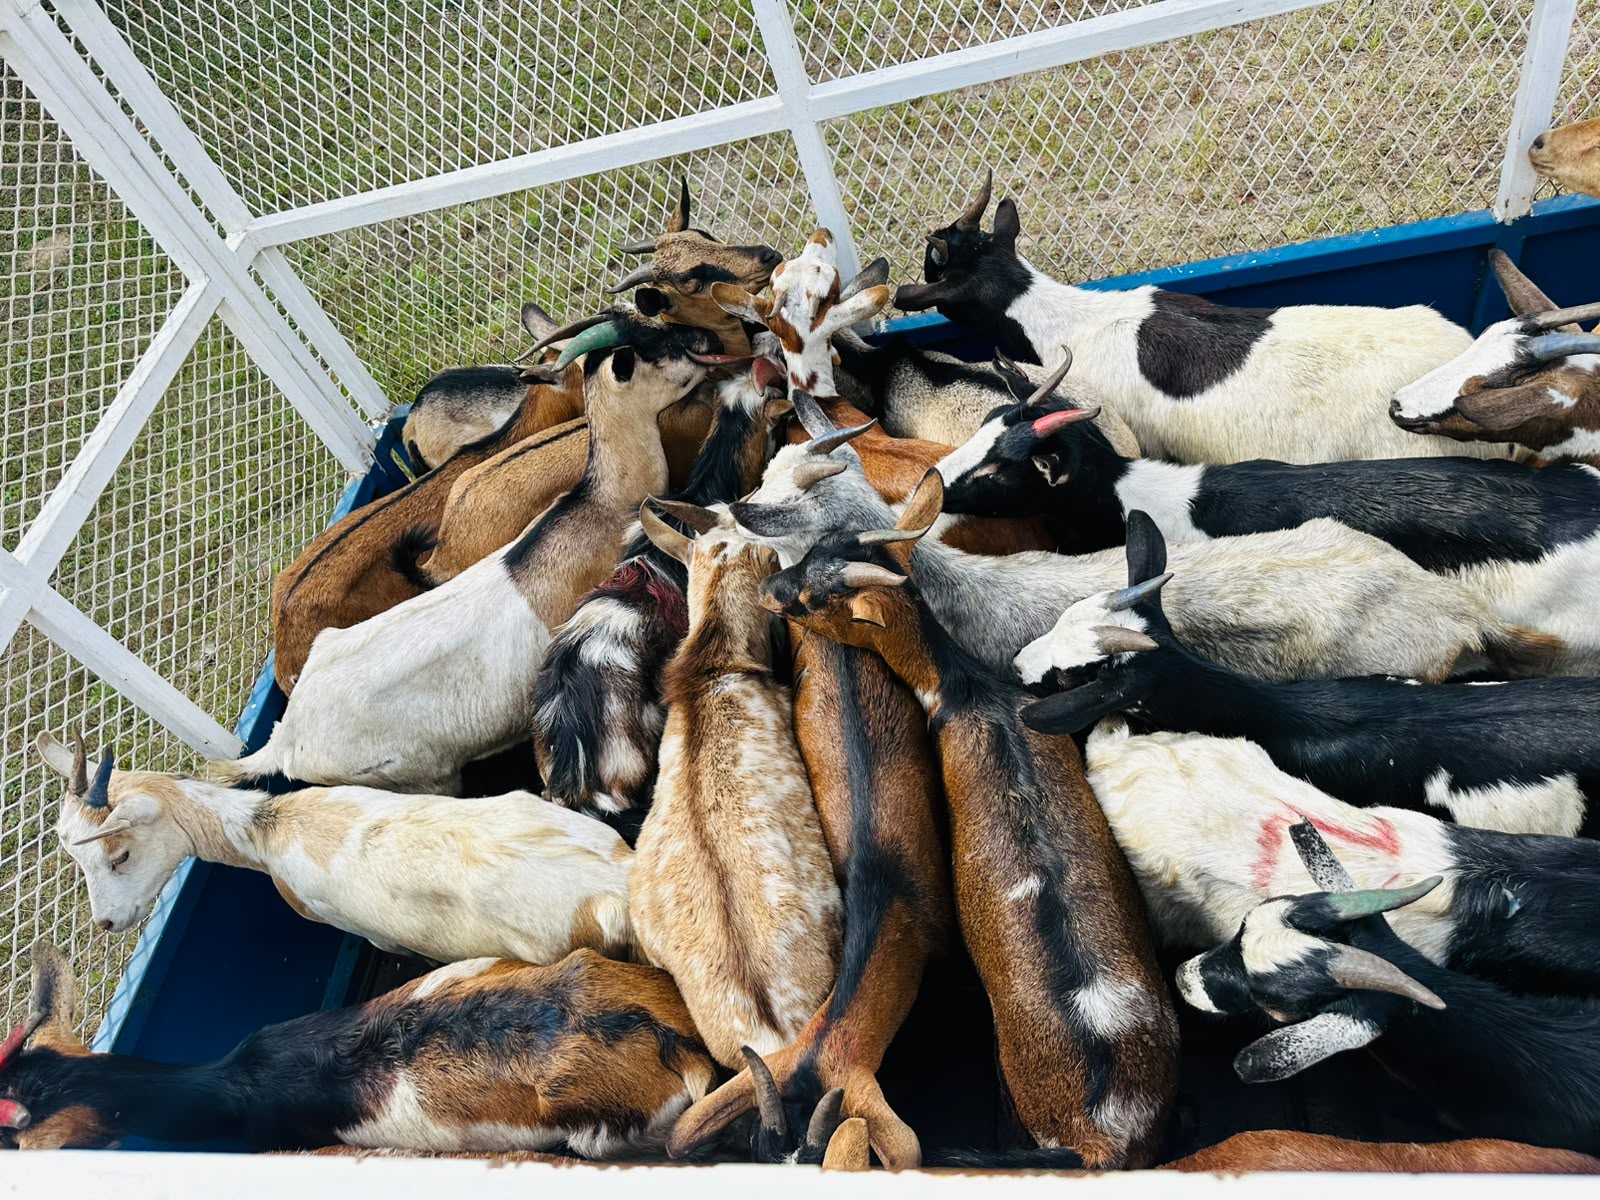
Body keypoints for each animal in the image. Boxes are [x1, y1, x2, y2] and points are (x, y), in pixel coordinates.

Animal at [759, 477, 1179, 1169]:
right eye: (814, 549)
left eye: (815, 600)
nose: (769, 587)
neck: (970, 691)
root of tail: (1102, 1137)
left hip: (1015, 1087)